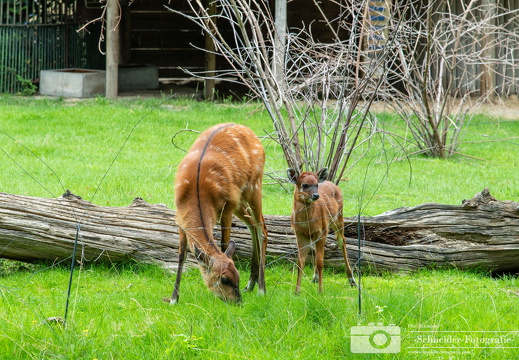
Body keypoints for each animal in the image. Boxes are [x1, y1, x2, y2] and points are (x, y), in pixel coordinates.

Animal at [172, 123, 270, 304]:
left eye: (237, 276)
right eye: (225, 279)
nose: (238, 301)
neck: (198, 191)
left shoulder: (227, 207)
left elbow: (224, 245)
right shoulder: (180, 217)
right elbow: (182, 253)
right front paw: (174, 298)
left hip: (254, 184)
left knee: (262, 229)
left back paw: (261, 289)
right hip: (240, 198)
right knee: (252, 225)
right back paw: (251, 284)